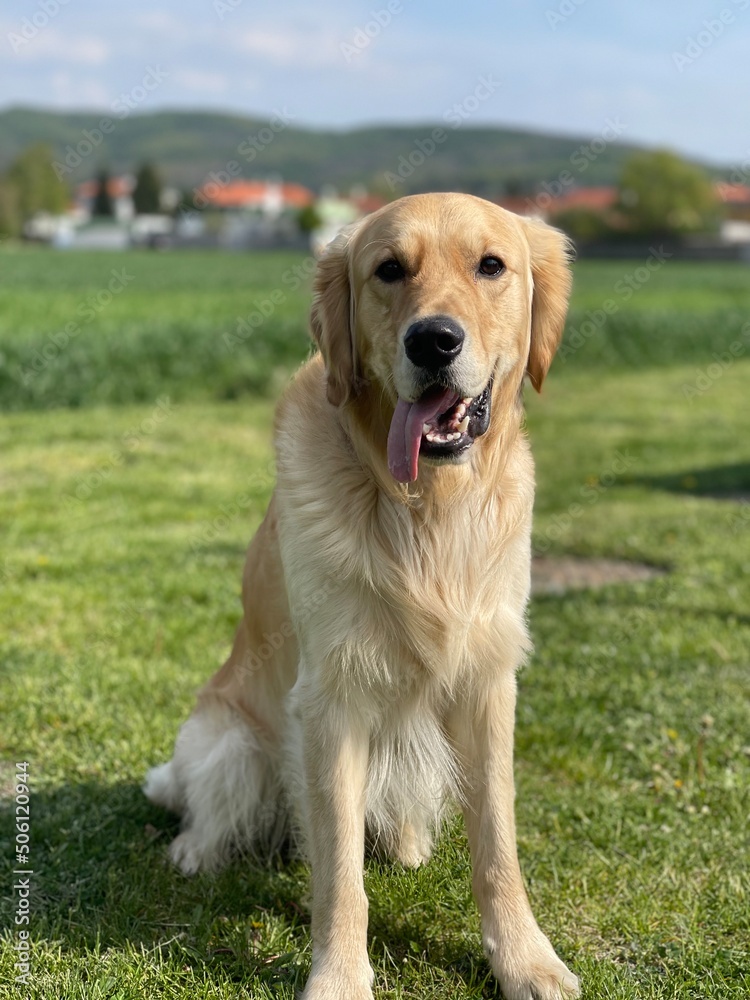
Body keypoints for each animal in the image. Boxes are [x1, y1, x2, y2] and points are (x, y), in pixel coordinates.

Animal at [148, 191, 580, 996]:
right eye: (388, 270)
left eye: (491, 266)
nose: (434, 341)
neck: (425, 507)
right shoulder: (330, 699)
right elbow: (340, 872)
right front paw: (340, 978)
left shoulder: (489, 681)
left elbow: (498, 847)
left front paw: (525, 958)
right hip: (229, 739)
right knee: (213, 804)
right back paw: (195, 850)